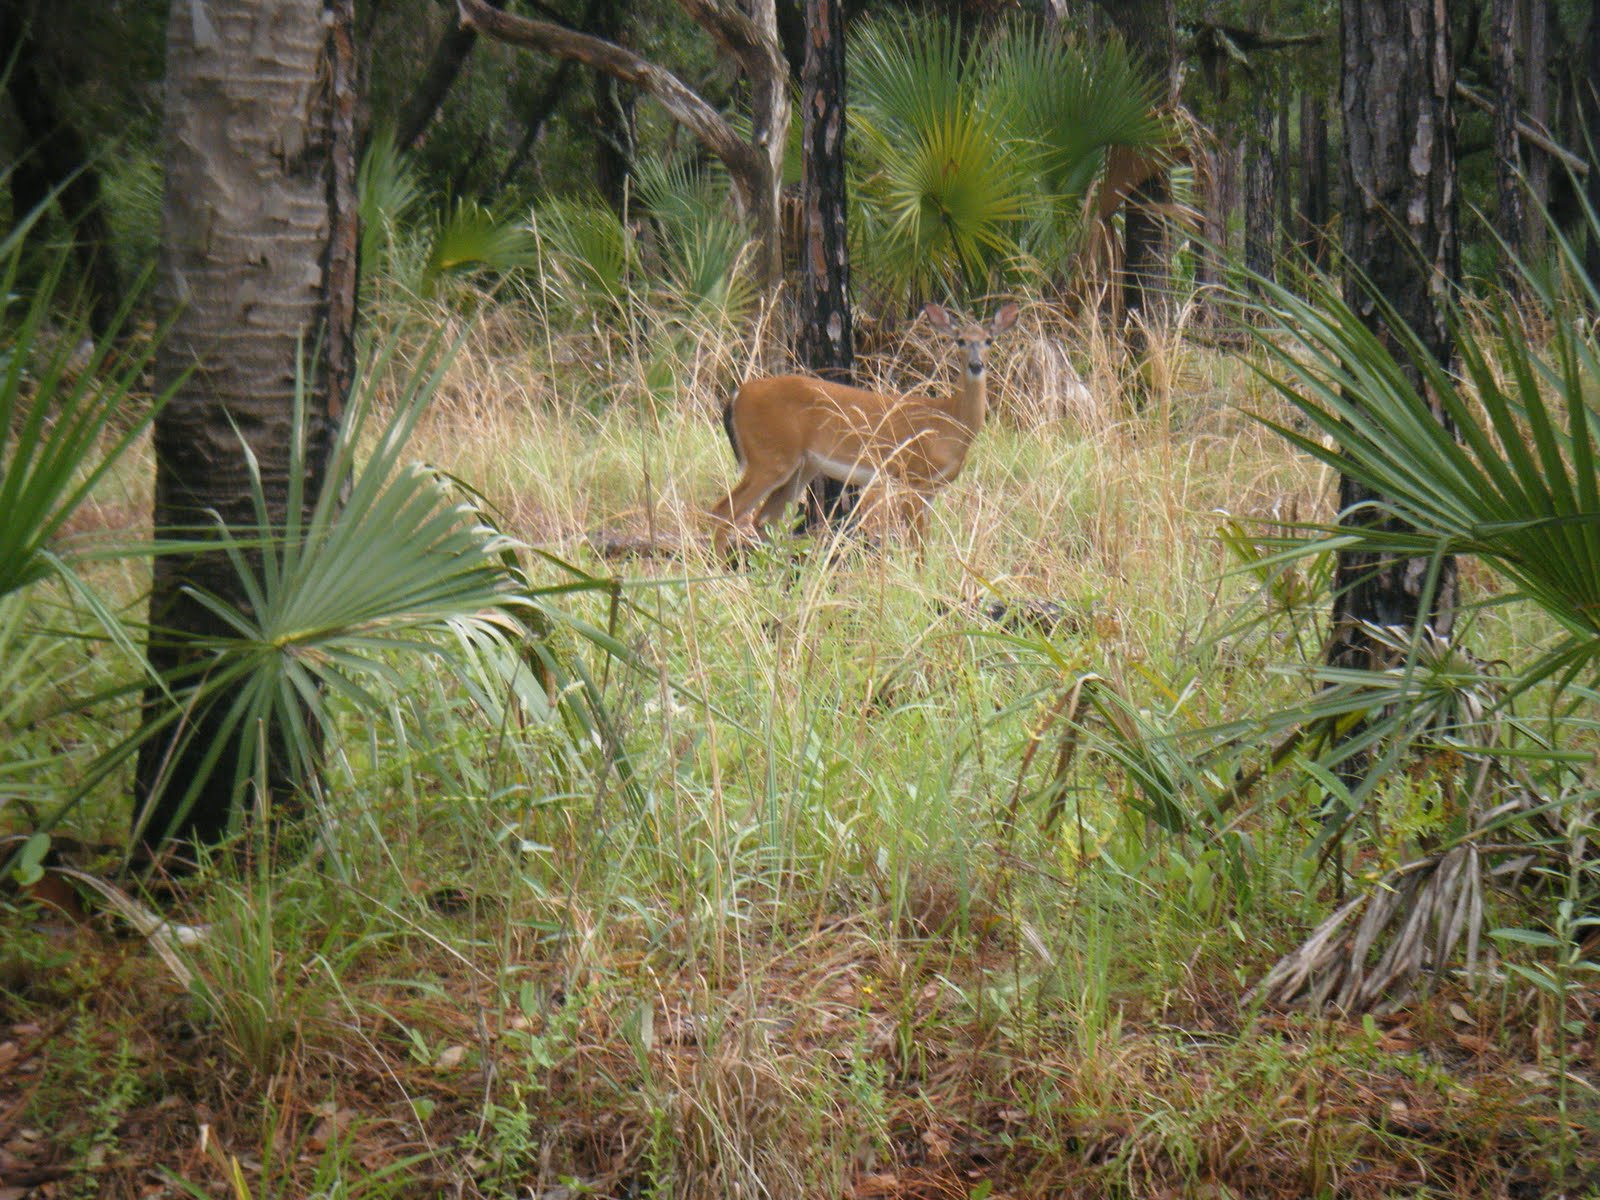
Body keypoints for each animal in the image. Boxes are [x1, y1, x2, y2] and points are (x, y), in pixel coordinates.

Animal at [710, 305, 1017, 560]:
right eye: (960, 340)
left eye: (989, 340)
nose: (976, 364)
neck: (950, 421)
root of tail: (737, 395)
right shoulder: (912, 477)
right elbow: (917, 543)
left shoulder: (930, 488)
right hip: (769, 456)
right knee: (723, 512)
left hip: (800, 466)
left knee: (764, 520)